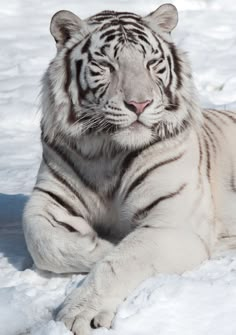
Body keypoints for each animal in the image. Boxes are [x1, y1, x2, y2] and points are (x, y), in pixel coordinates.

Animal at [22, 3, 236, 335]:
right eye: (106, 65)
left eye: (151, 63)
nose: (140, 104)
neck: (106, 151)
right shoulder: (48, 201)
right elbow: (42, 241)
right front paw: (101, 244)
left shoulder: (173, 222)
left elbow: (122, 261)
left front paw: (79, 314)